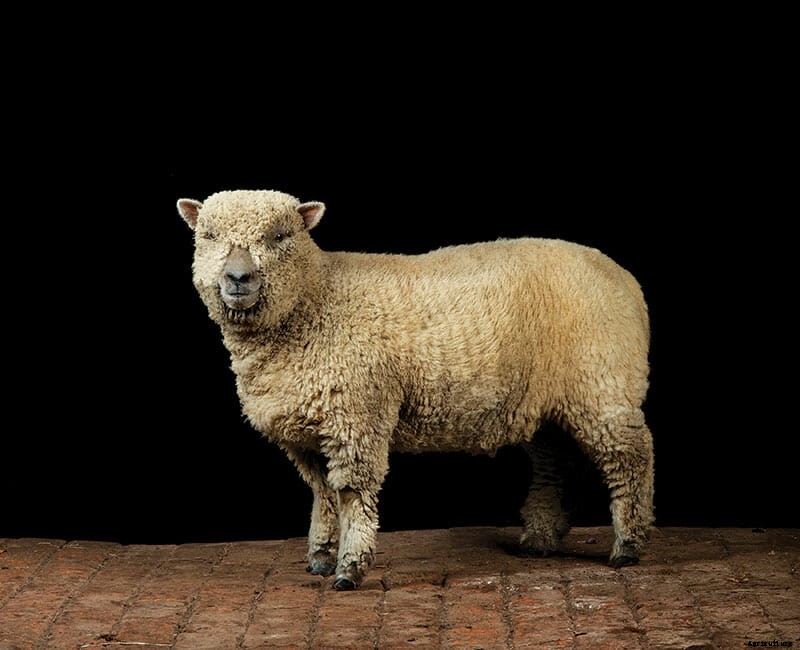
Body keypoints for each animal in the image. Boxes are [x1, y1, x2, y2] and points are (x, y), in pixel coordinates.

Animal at [176, 189, 655, 590]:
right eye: (208, 236)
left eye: (279, 236)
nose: (238, 277)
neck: (314, 298)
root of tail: (622, 276)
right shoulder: (308, 430)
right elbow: (323, 494)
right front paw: (322, 556)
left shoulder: (357, 418)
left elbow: (351, 495)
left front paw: (350, 569)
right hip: (546, 402)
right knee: (556, 464)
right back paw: (540, 537)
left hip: (604, 381)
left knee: (632, 457)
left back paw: (629, 545)